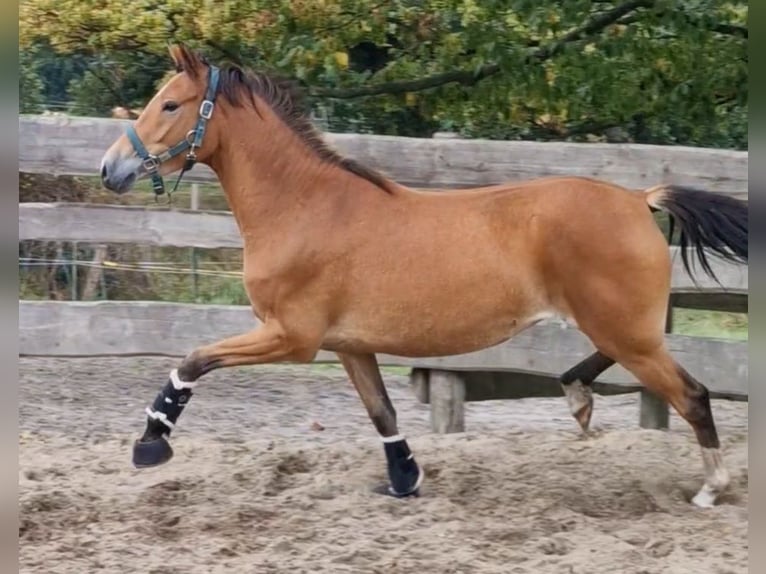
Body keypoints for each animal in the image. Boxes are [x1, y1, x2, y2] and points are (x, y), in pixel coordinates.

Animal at [99, 44, 747, 508]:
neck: (304, 205)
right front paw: (404, 479)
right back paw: (578, 397)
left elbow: (192, 360)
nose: (110, 169)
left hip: (623, 328)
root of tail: (639, 199)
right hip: (620, 325)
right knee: (622, 367)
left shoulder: (290, 336)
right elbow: (382, 412)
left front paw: (150, 443)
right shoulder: (348, 344)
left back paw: (711, 487)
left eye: (170, 105)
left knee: (692, 395)